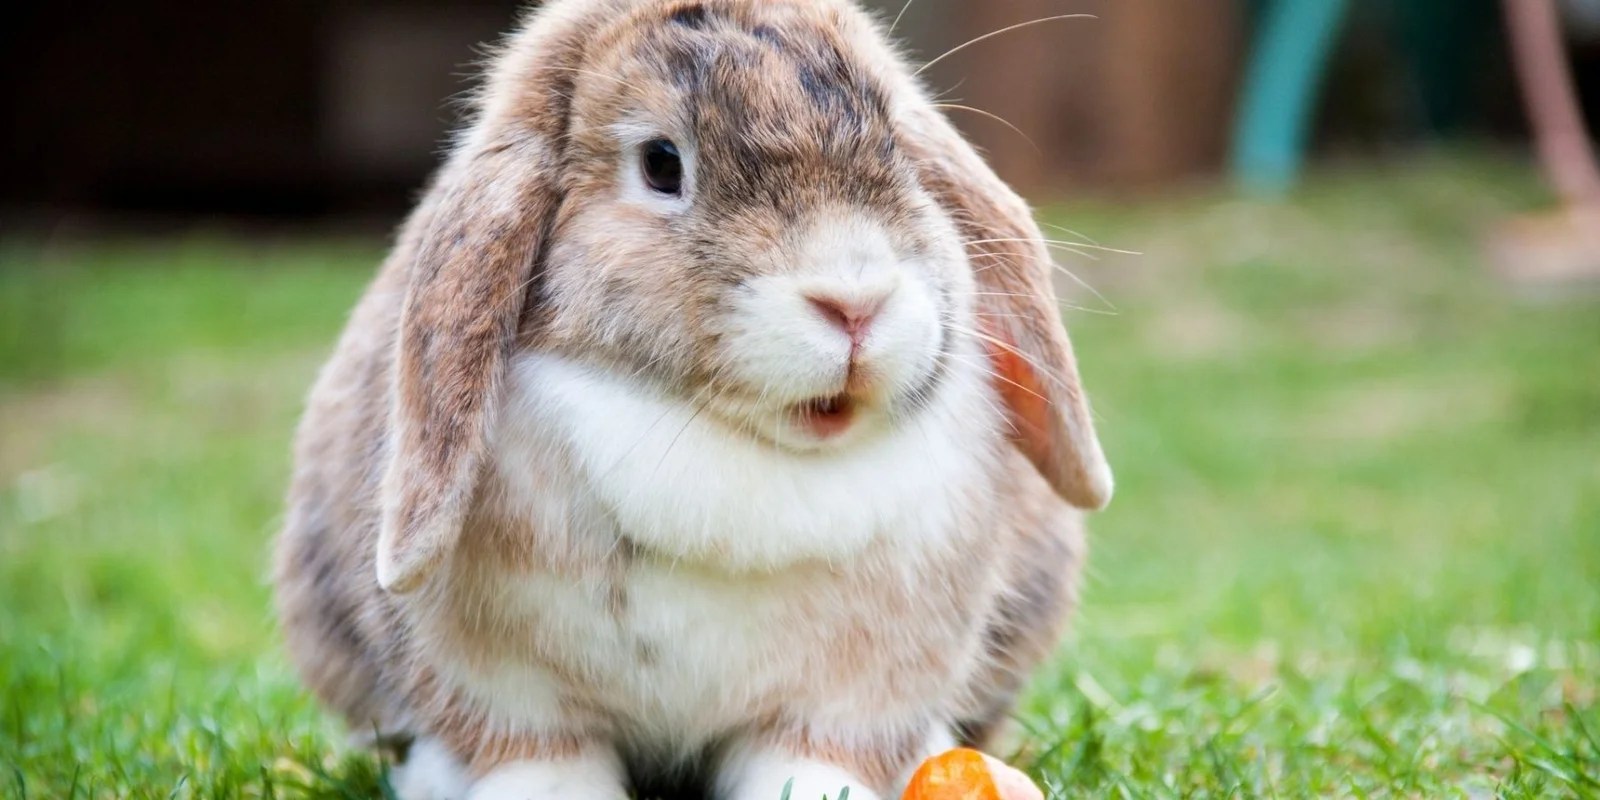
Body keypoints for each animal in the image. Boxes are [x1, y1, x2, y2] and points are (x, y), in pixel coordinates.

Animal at [272, 1, 1113, 799]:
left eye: (898, 150)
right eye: (661, 163)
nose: (855, 301)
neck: (730, 442)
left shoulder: (857, 689)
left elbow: (811, 754)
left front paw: (819, 791)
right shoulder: (505, 687)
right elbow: (539, 755)